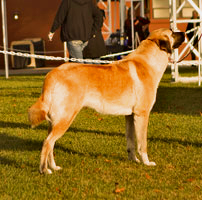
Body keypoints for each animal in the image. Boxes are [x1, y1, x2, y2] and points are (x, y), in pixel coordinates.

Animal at [28, 28, 185, 173]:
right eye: (172, 32)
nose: (184, 33)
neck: (148, 61)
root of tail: (53, 73)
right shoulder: (142, 114)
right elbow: (142, 144)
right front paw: (146, 163)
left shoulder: (130, 116)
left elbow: (131, 142)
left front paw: (133, 160)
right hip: (65, 118)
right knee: (47, 142)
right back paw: (44, 170)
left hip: (55, 121)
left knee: (51, 144)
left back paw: (53, 167)